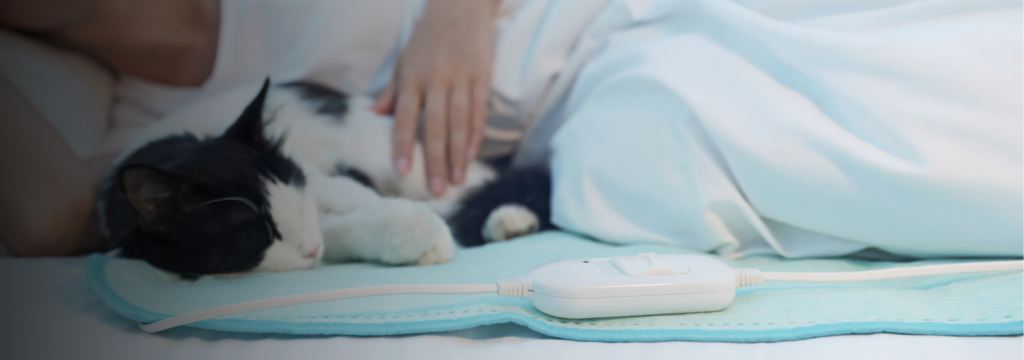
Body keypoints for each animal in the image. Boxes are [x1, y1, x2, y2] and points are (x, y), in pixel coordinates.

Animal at [97, 79, 552, 278]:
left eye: (298, 205)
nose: (310, 248)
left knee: (474, 189)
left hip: (409, 165)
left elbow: (366, 205)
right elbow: (350, 228)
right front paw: (414, 237)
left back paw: (507, 219)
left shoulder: (317, 181)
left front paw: (422, 235)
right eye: (254, 234)